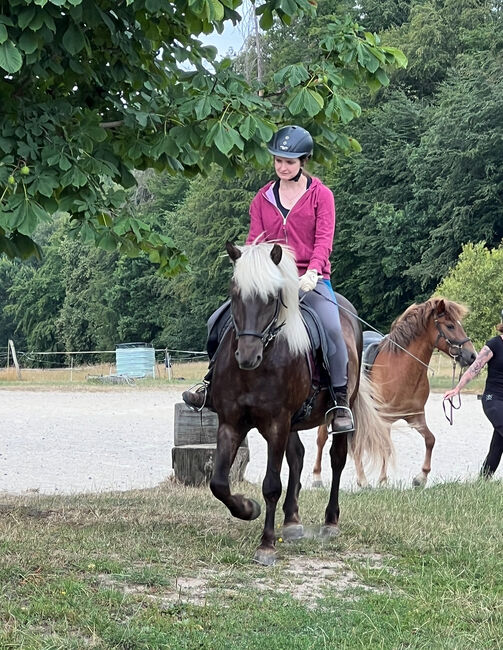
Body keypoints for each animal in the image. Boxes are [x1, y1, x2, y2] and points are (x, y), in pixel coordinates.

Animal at [209, 240, 394, 564]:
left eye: (272, 297)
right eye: (235, 294)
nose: (247, 356)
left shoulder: (277, 422)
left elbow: (272, 485)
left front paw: (267, 545)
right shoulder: (231, 422)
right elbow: (219, 483)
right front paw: (248, 508)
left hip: (337, 414)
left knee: (337, 459)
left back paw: (330, 522)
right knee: (297, 456)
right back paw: (292, 521)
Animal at [314, 298, 478, 486]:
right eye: (450, 326)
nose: (472, 355)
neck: (400, 370)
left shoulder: (415, 416)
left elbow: (430, 440)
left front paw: (420, 477)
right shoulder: (383, 419)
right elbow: (385, 447)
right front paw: (383, 481)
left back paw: (362, 480)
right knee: (323, 439)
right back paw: (320, 477)